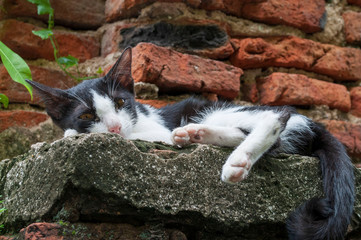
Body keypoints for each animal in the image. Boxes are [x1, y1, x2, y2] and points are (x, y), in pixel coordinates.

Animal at [26, 47, 352, 239]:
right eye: (87, 115)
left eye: (120, 103)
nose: (116, 127)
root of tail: (314, 123)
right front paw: (58, 138)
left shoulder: (154, 128)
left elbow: (145, 136)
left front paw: (72, 136)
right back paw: (194, 134)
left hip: (225, 109)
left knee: (274, 118)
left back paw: (236, 160)